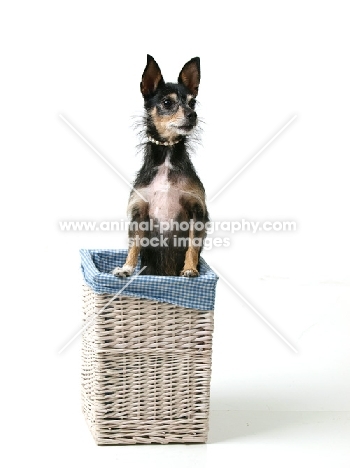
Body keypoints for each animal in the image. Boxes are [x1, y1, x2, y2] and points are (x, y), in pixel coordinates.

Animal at [113, 54, 209, 278]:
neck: (167, 156)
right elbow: (134, 245)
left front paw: (190, 269)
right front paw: (127, 268)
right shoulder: (139, 214)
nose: (192, 115)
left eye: (193, 103)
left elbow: (192, 245)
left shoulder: (198, 212)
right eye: (167, 102)